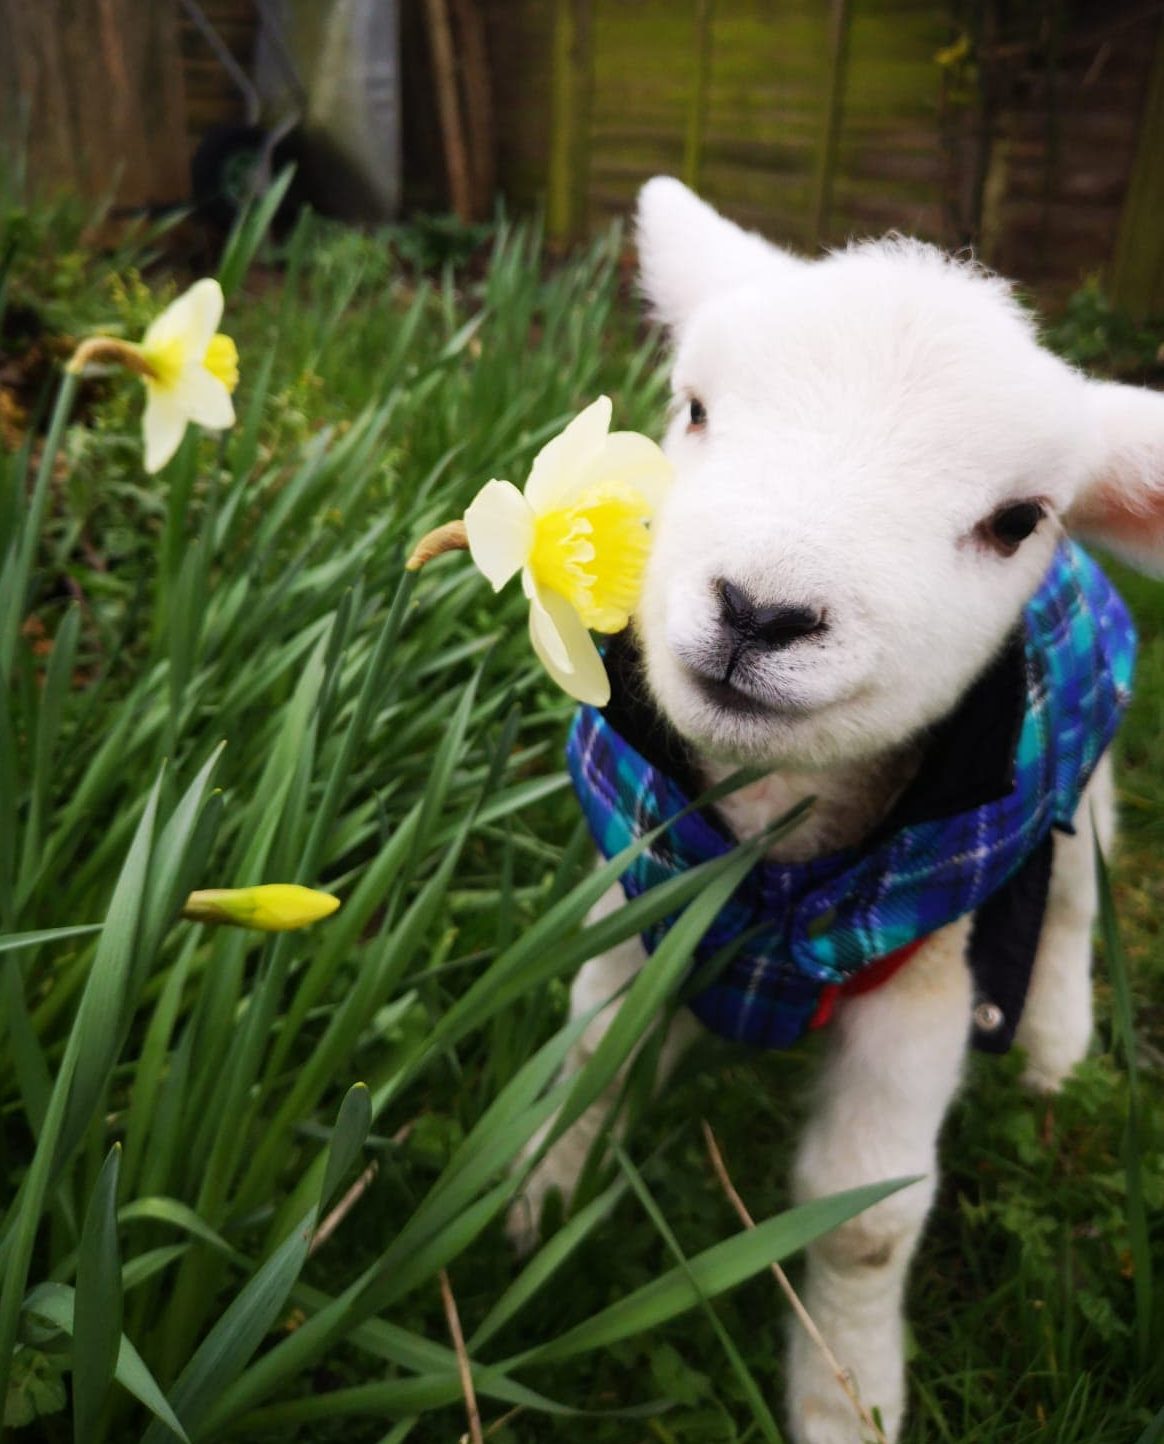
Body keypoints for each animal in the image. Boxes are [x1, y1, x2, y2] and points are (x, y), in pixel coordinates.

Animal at [508, 177, 1162, 1444]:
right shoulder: (642, 908)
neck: (771, 870)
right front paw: (533, 1212)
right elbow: (591, 1068)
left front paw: (846, 1398)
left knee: (1072, 904)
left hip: (1087, 784)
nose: (760, 611)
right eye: (694, 407)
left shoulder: (924, 979)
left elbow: (862, 1224)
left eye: (1018, 519)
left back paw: (1057, 1048)